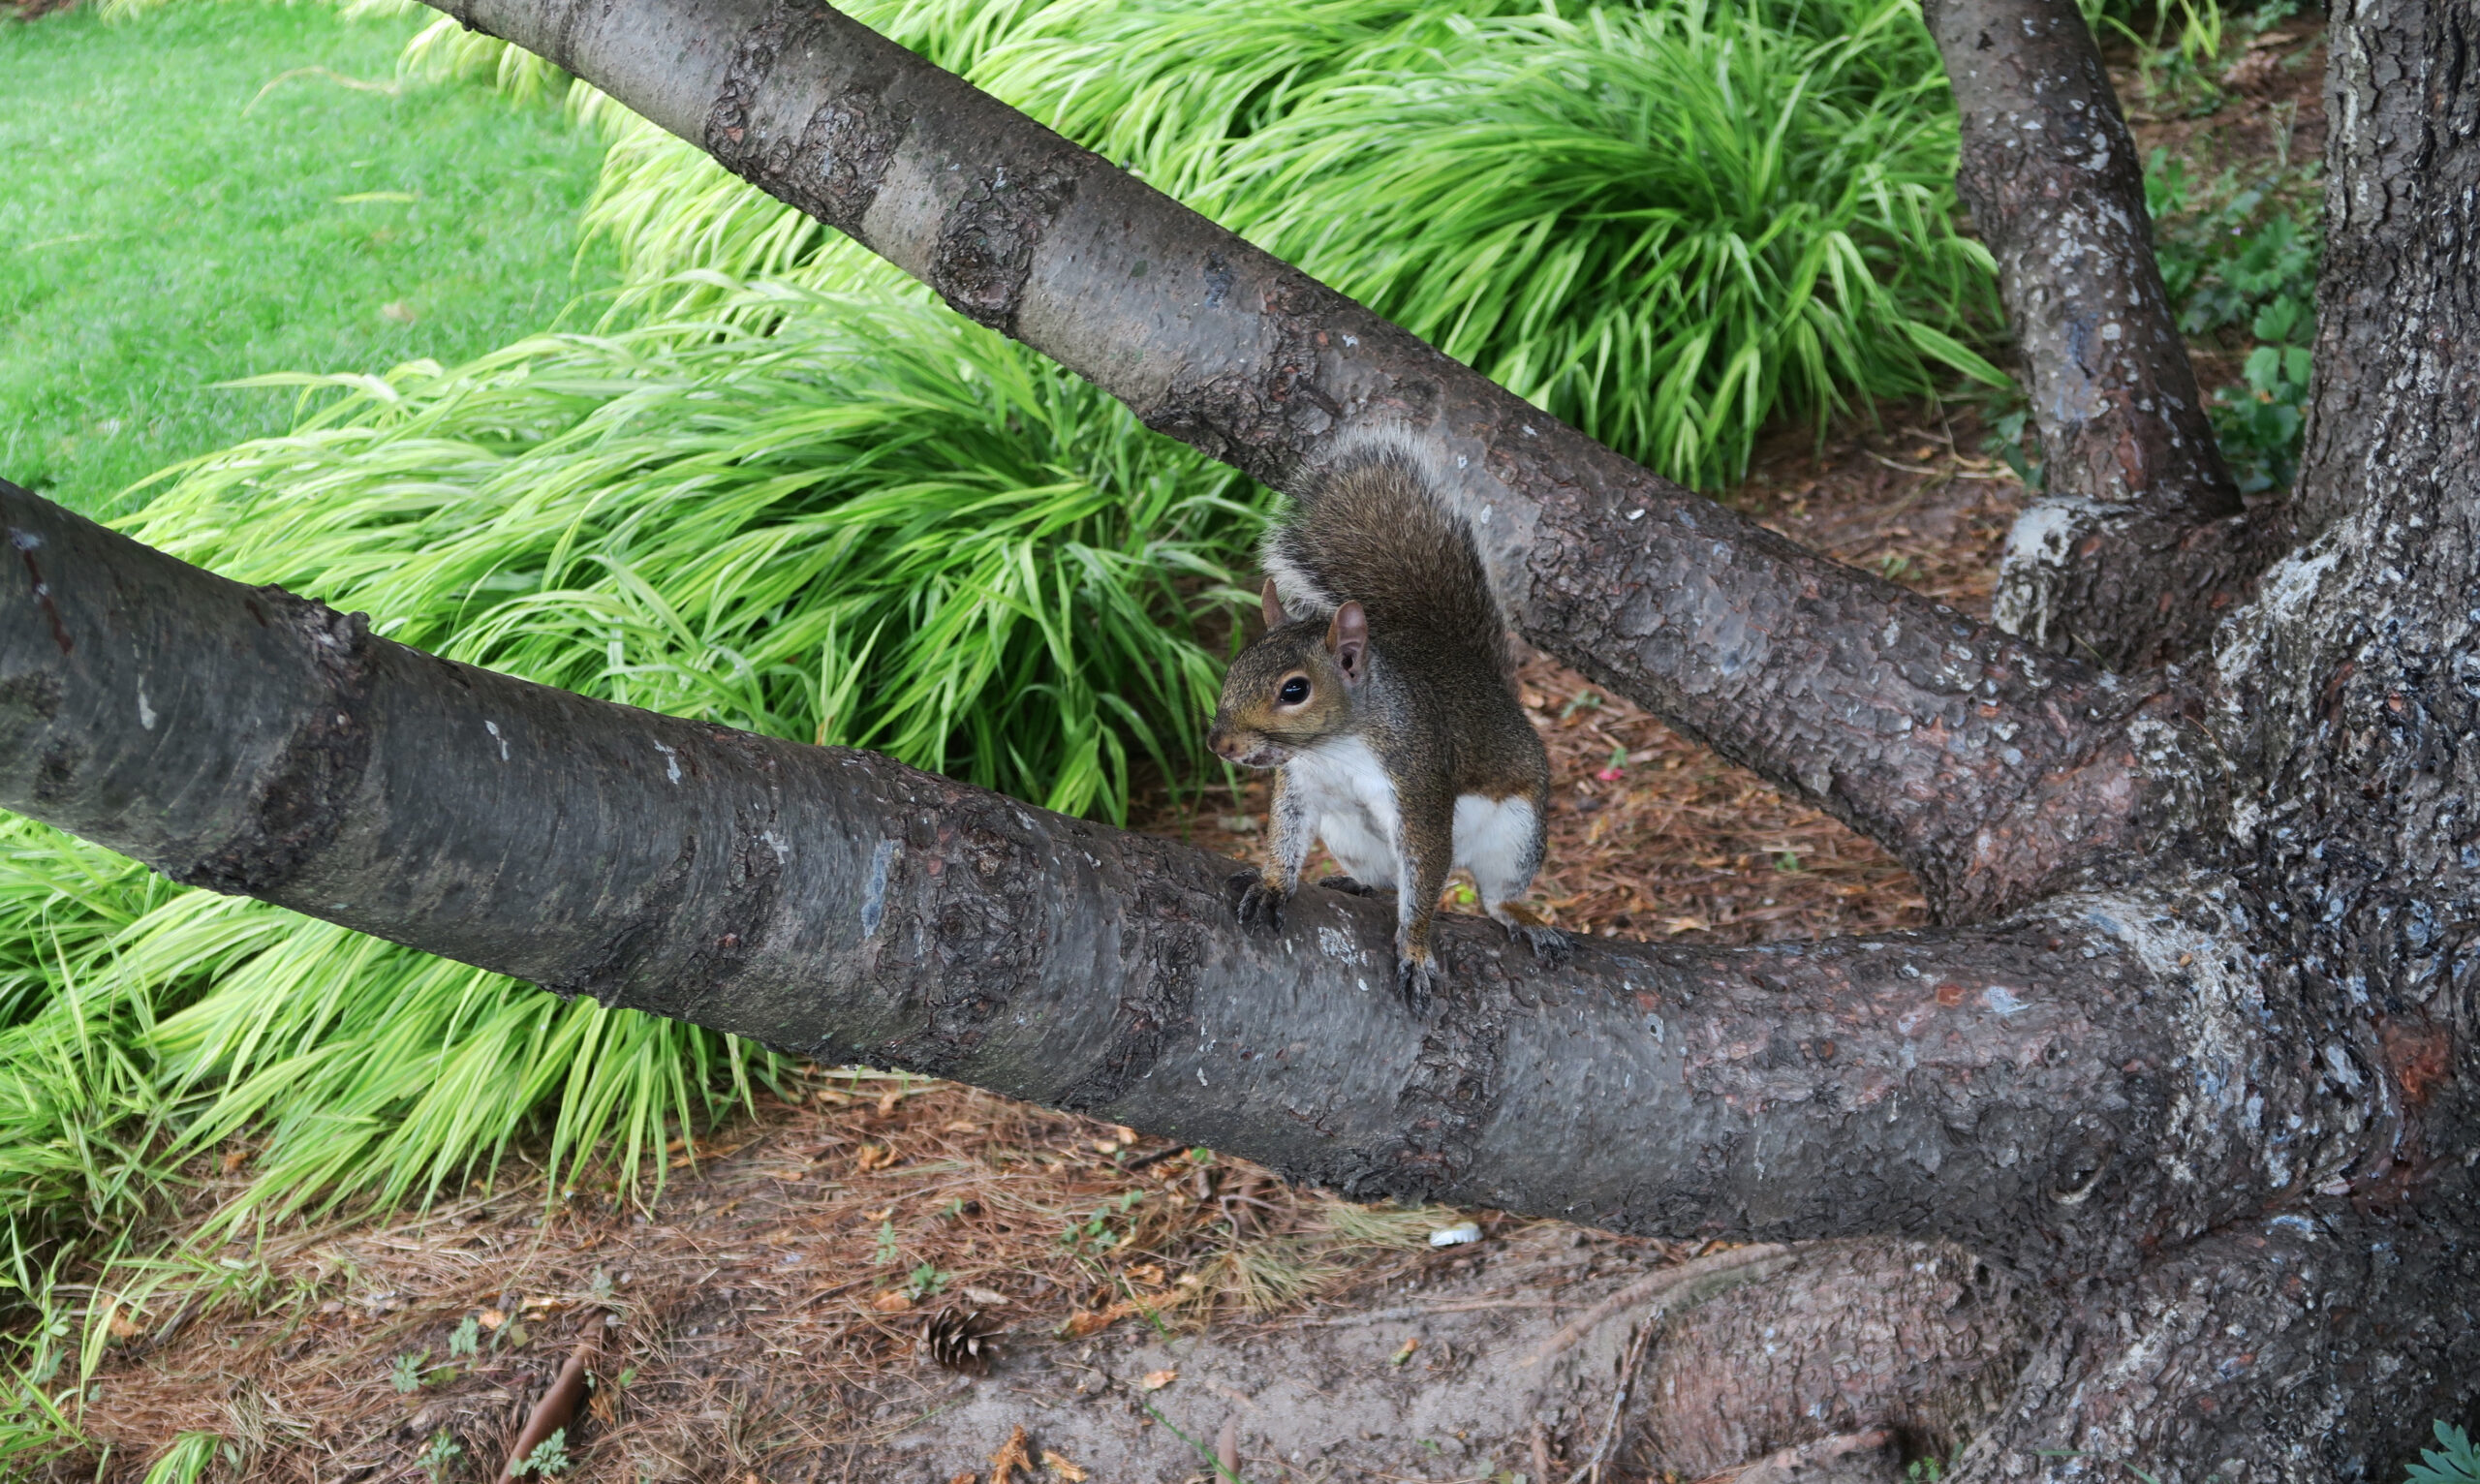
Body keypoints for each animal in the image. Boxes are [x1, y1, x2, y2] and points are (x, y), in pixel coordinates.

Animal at [1205, 447, 1566, 1017]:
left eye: (1294, 690)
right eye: (1234, 667)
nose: (1220, 744)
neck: (1337, 747)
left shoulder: (1418, 782)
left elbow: (1424, 868)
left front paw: (1414, 951)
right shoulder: (1301, 784)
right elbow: (1286, 833)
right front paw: (1272, 882)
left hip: (1518, 832)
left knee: (1494, 893)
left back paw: (1520, 916)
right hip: (1349, 835)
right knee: (1384, 880)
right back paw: (1357, 885)